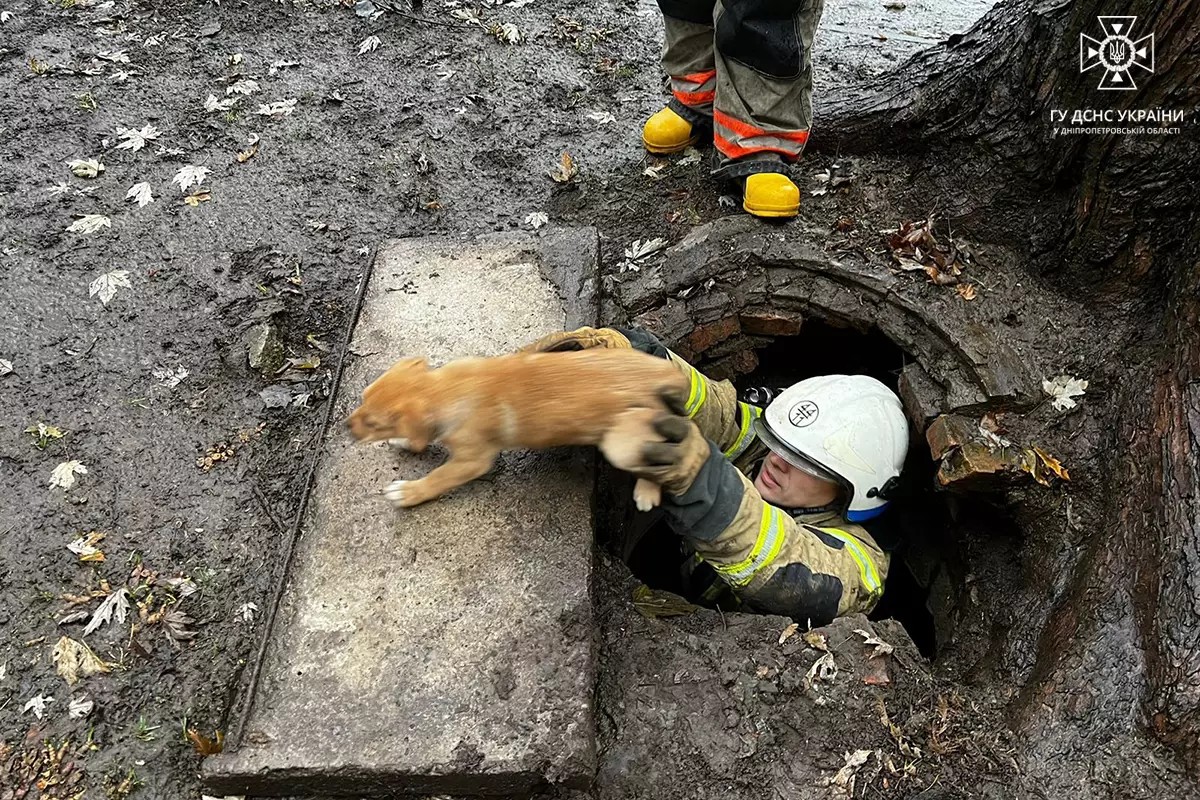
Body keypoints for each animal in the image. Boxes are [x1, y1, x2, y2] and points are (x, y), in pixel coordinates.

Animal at [348, 347, 686, 510]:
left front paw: (409, 492)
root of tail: (667, 375)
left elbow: (438, 477)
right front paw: (404, 441)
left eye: (373, 424)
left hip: (627, 440)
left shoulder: (473, 460)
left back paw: (646, 491)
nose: (345, 427)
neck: (448, 390)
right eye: (362, 398)